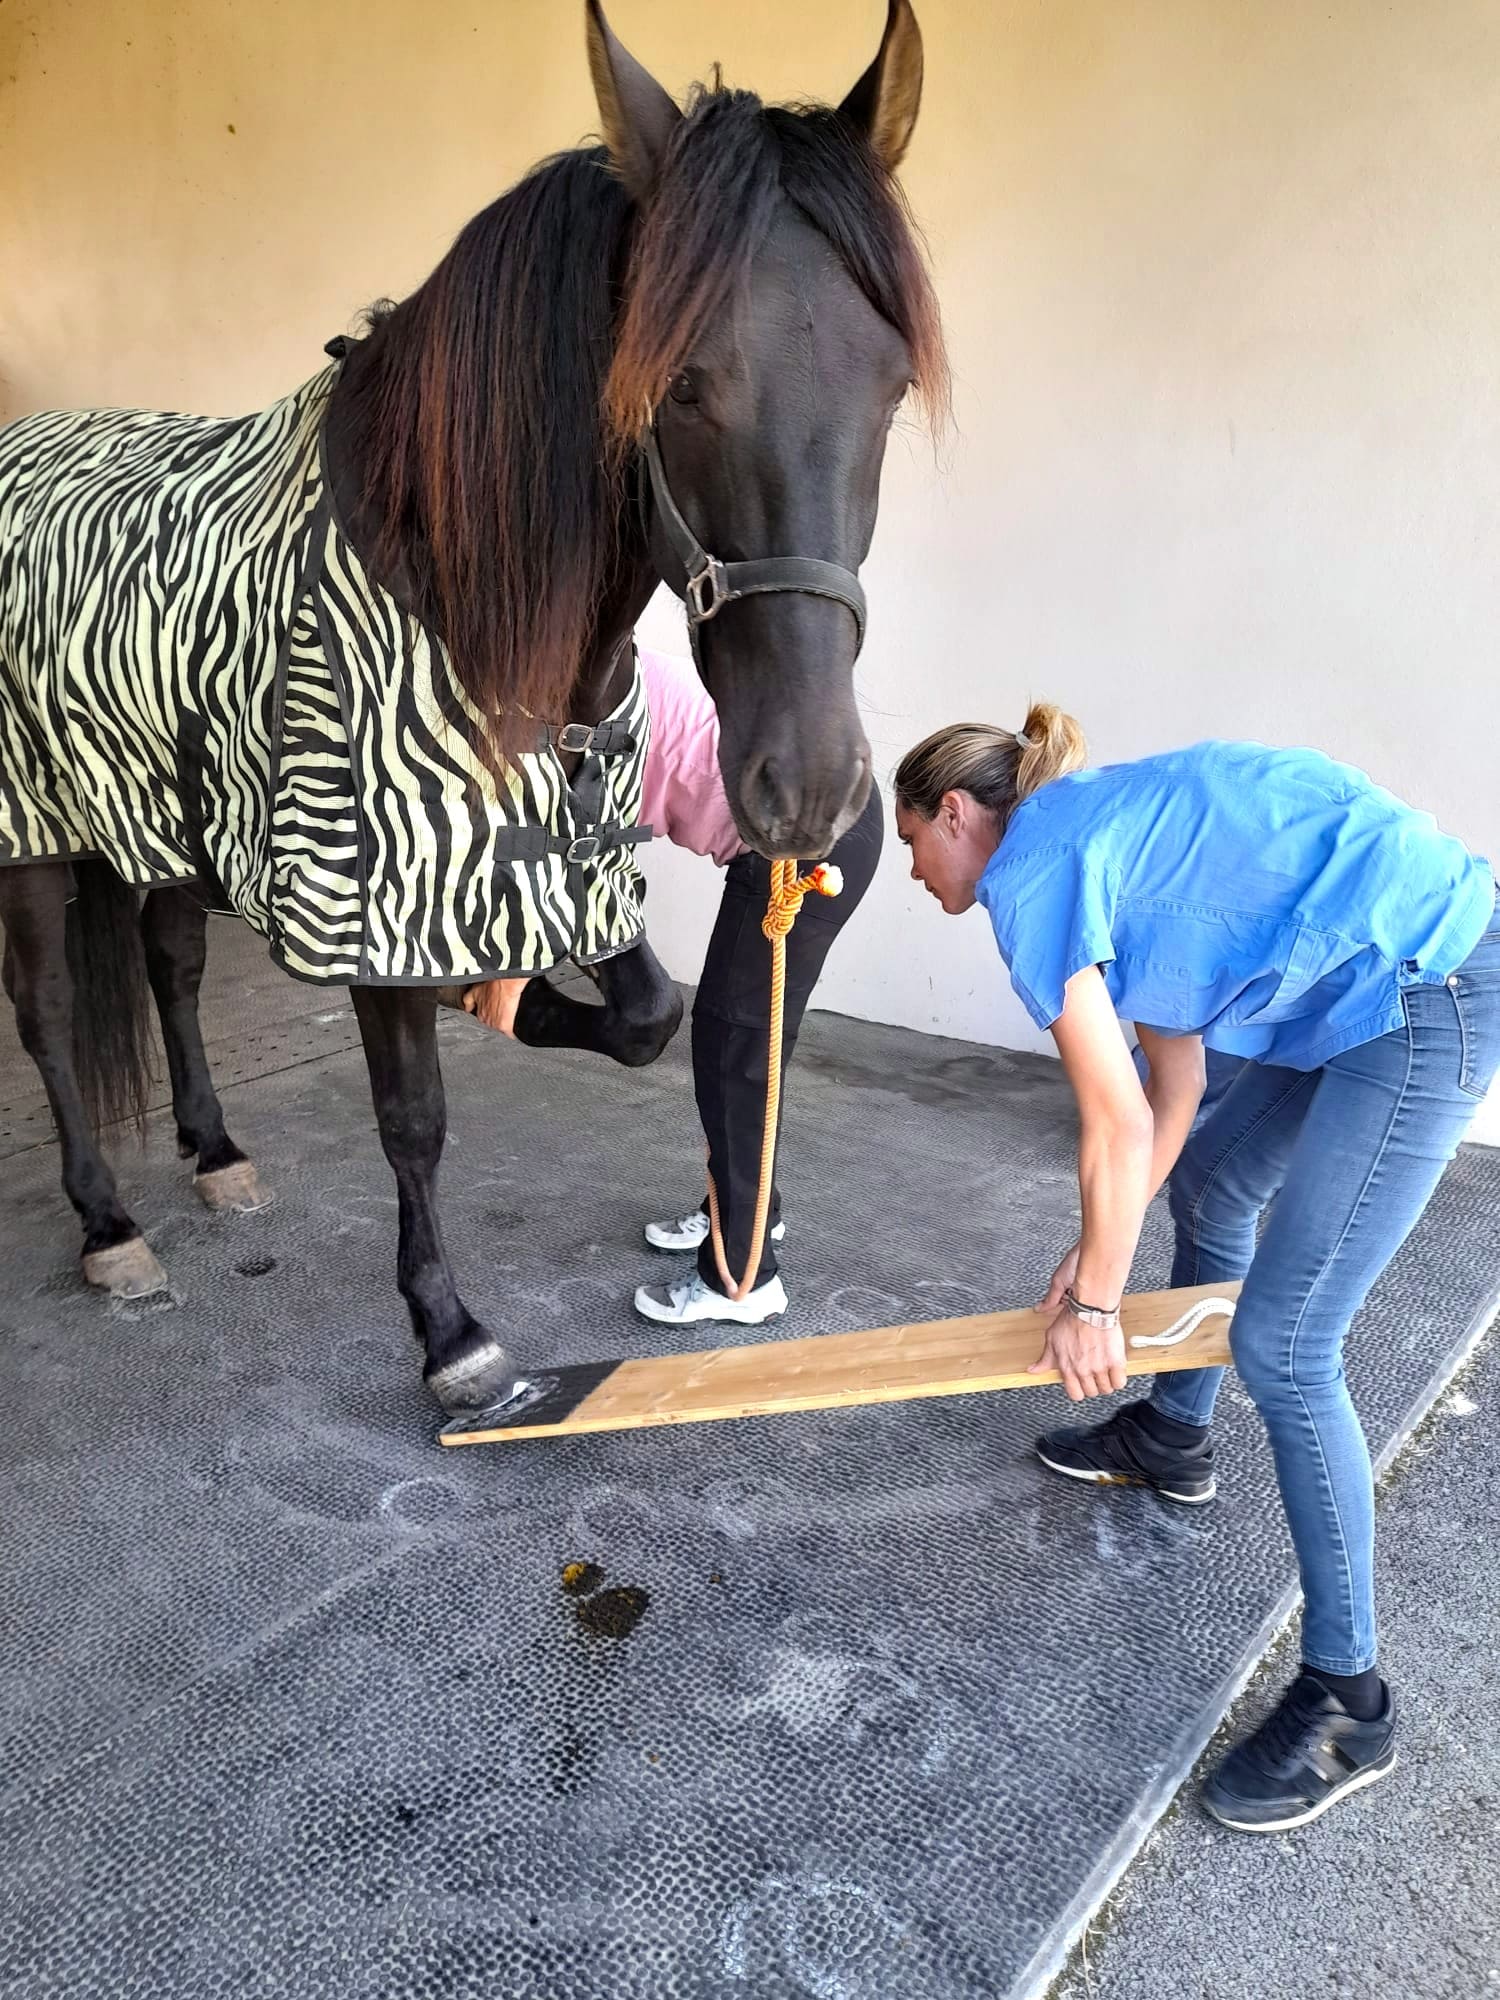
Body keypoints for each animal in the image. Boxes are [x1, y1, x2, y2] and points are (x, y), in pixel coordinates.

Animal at [0, 0, 946, 1415]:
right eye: (679, 384)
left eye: (890, 383)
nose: (812, 787)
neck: (456, 593)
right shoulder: (366, 888)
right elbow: (415, 1113)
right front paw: (450, 1333)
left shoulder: (569, 866)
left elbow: (648, 1017)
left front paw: (513, 1004)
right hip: (34, 833)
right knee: (51, 1012)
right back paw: (108, 1223)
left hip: (159, 815)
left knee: (171, 965)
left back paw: (216, 1153)